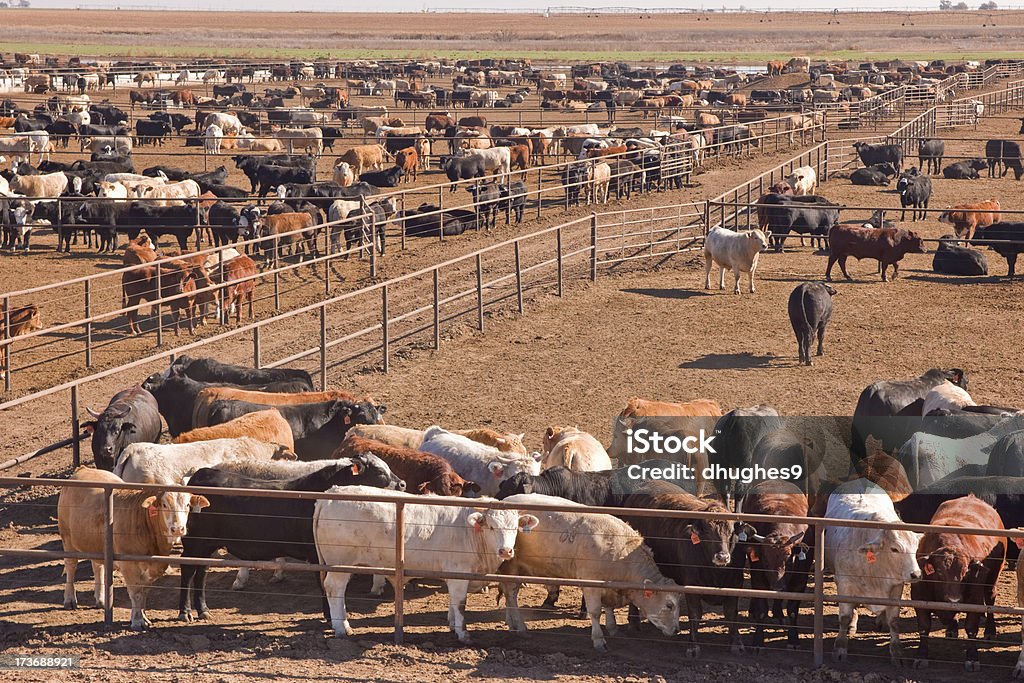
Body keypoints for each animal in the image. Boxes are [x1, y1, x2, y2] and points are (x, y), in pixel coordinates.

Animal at [178, 456, 401, 622]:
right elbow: (323, 584)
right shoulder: (318, 555)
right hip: (195, 543)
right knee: (188, 570)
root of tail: (201, 473)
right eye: (380, 472)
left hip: (207, 545)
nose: (402, 483)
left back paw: (203, 610)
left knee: (201, 572)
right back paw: (185, 612)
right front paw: (329, 616)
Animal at [819, 479, 925, 663]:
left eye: (916, 547)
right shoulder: (845, 584)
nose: (916, 574)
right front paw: (840, 647)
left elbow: (894, 620)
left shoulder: (896, 587)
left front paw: (896, 651)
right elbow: (844, 618)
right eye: (894, 549)